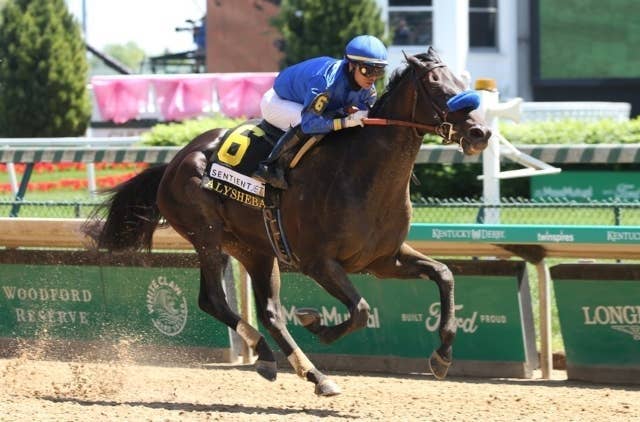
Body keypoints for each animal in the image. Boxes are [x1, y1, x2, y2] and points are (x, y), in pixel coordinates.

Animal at [85, 47, 491, 396]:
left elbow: (444, 274)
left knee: (269, 313)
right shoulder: (318, 262)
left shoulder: (382, 260)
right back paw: (276, 357)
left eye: (460, 79)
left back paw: (302, 370)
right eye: (436, 84)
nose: (481, 133)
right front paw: (317, 325)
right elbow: (360, 311)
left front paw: (442, 356)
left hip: (255, 250)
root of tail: (174, 162)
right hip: (207, 237)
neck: (362, 174)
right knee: (212, 299)